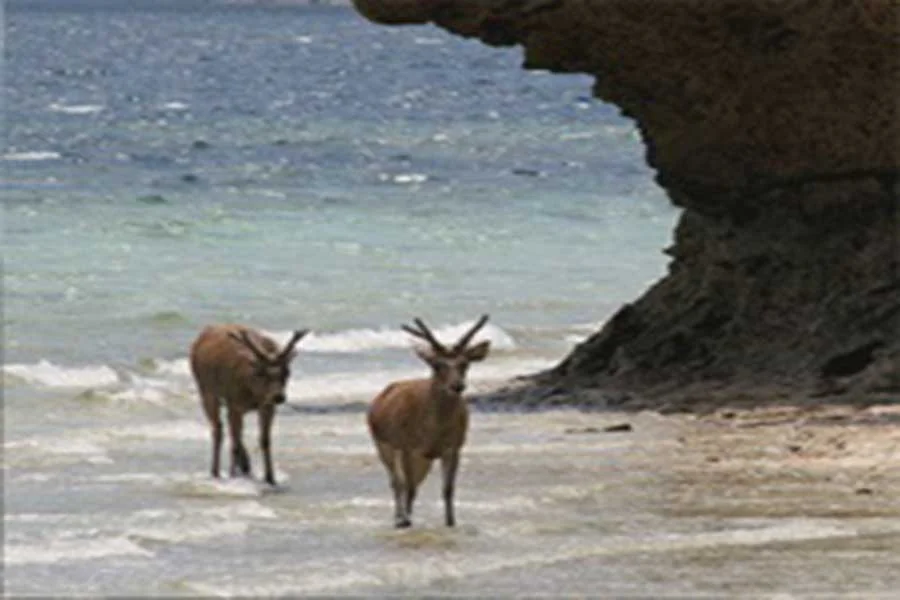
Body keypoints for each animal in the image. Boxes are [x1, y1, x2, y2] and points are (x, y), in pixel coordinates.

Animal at [189, 324, 308, 486]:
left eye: (287, 372)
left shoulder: (266, 406)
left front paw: (270, 478)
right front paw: (233, 475)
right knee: (219, 430)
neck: (253, 392)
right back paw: (216, 472)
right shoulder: (234, 402)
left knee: (233, 432)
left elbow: (264, 440)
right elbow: (234, 441)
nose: (278, 396)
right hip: (206, 389)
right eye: (261, 373)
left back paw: (244, 466)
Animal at [367, 315, 491, 528]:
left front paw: (451, 522)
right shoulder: (408, 446)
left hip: (423, 458)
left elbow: (448, 488)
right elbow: (409, 486)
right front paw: (406, 520)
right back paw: (399, 517)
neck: (434, 431)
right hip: (382, 442)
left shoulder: (454, 447)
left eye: (465, 363)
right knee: (397, 481)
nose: (457, 386)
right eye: (436, 364)